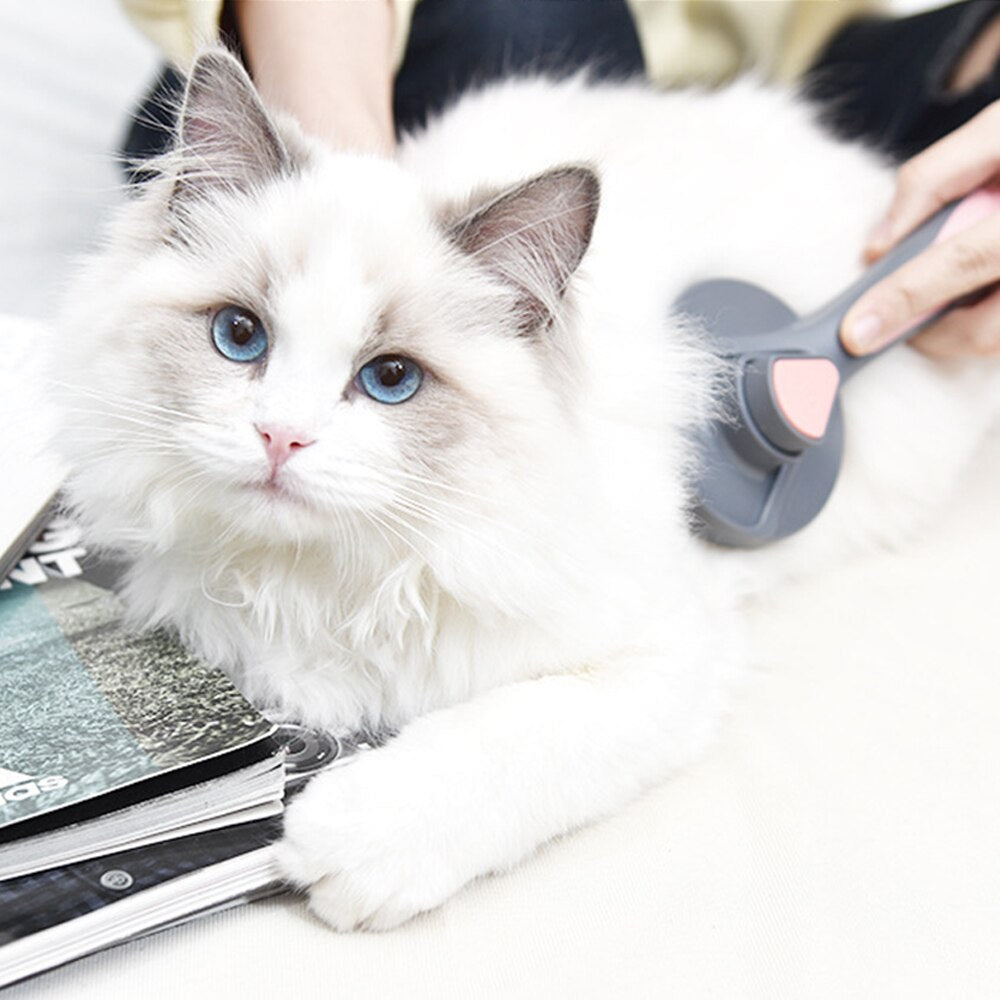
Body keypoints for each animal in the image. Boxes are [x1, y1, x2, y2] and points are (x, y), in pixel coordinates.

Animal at [52, 50, 1000, 928]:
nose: (281, 438)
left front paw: (336, 844)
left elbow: (495, 740)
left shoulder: (662, 660)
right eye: (240, 336)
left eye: (390, 379)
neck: (319, 580)